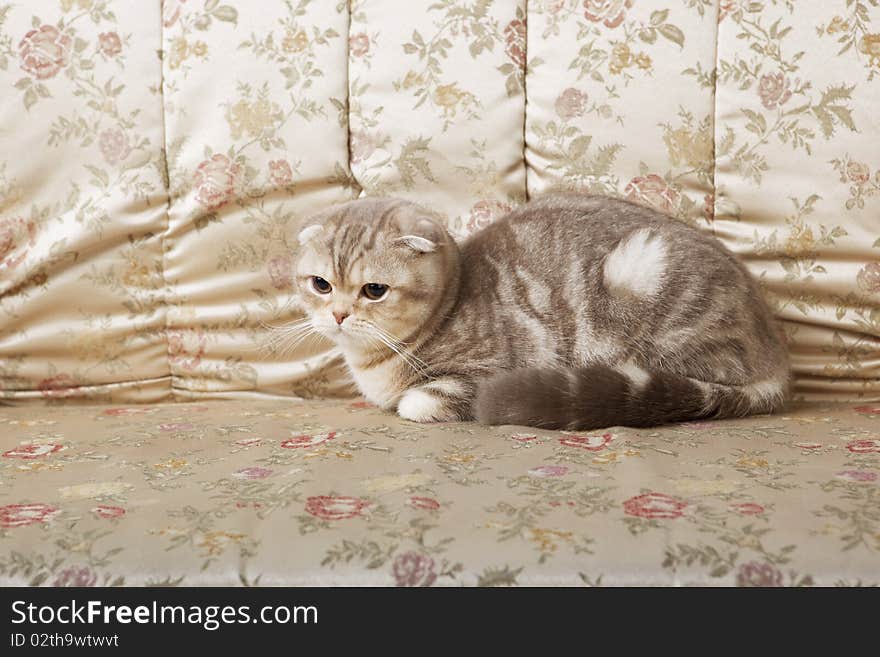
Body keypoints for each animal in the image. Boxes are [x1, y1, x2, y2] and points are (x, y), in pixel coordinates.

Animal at [290, 193, 792, 430]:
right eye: (321, 284)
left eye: (374, 290)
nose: (337, 315)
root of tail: (776, 359)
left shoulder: (488, 369)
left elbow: (418, 401)